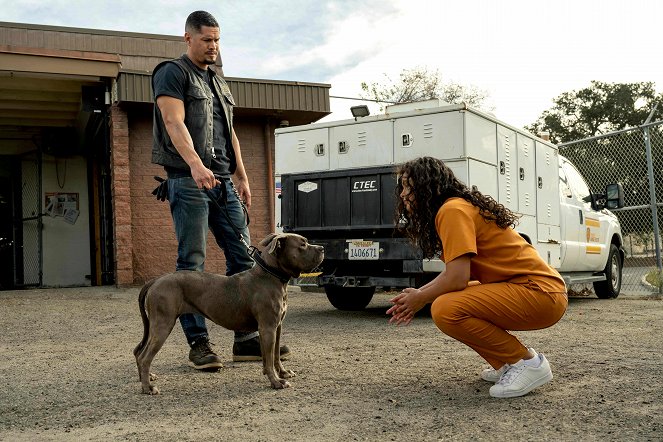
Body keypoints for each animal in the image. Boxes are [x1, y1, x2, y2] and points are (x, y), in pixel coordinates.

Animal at [133, 233, 324, 396]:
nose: (322, 247)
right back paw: (148, 387)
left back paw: (146, 378)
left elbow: (275, 355)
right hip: (163, 324)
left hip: (155, 325)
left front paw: (283, 374)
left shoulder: (277, 327)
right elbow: (269, 359)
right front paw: (276, 382)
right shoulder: (267, 328)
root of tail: (155, 280)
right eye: (303, 244)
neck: (271, 274)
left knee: (139, 352)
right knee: (144, 357)